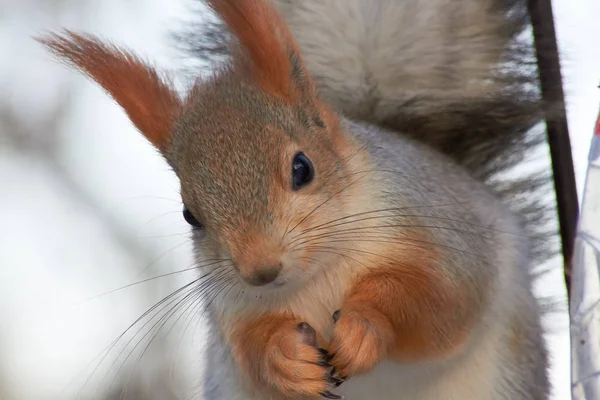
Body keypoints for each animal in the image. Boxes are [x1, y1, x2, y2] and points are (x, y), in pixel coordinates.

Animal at [36, 0, 552, 396]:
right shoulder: (233, 309)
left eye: (302, 168)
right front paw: (284, 358)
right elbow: (251, 352)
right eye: (189, 215)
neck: (317, 276)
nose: (260, 271)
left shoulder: (442, 230)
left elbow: (440, 299)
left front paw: (364, 326)